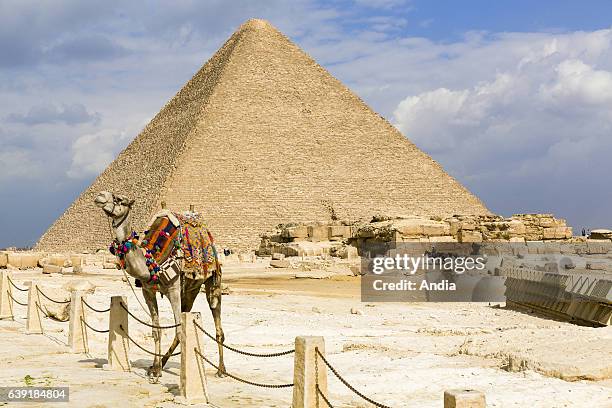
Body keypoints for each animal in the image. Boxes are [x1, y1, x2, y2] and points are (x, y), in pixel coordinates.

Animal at [91, 191, 225, 380]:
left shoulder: (174, 290)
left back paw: (221, 369)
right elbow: (156, 330)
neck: (151, 259)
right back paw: (163, 362)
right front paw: (155, 369)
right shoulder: (148, 291)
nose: (101, 195)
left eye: (120, 199)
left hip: (212, 281)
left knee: (216, 321)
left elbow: (179, 331)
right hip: (190, 290)